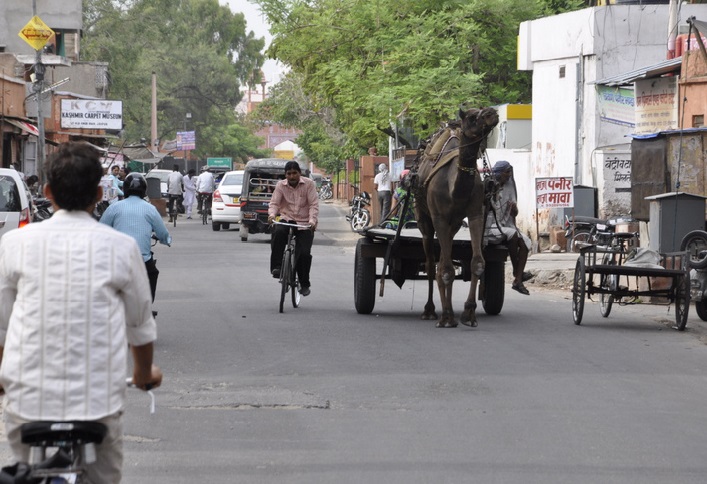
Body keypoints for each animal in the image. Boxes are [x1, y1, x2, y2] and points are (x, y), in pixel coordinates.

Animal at [414, 108, 498, 328]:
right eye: (471, 117)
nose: (492, 112)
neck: (454, 189)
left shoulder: (475, 213)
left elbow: (477, 263)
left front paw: (468, 314)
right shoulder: (439, 217)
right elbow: (443, 269)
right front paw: (446, 316)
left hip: (454, 224)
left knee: (444, 261)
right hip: (425, 220)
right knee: (431, 265)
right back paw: (430, 311)